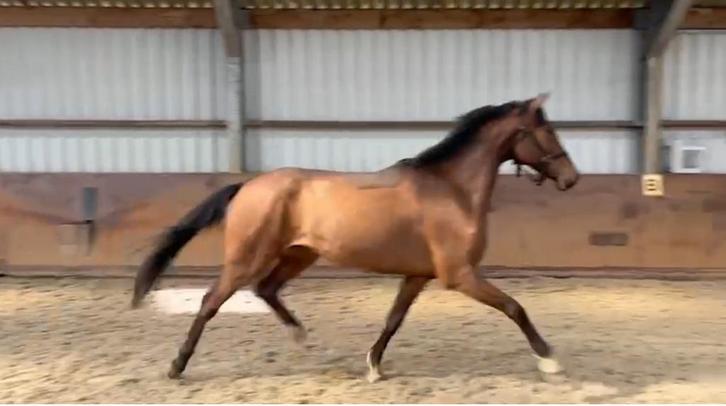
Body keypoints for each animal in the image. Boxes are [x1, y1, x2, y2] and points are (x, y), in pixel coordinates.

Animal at [131, 93, 580, 382]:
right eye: (546, 130)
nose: (571, 178)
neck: (452, 189)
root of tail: (248, 185)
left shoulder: (419, 275)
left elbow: (393, 319)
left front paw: (374, 366)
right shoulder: (460, 275)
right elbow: (514, 307)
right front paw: (550, 361)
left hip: (298, 254)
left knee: (266, 288)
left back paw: (299, 335)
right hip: (248, 257)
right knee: (212, 301)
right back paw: (177, 367)